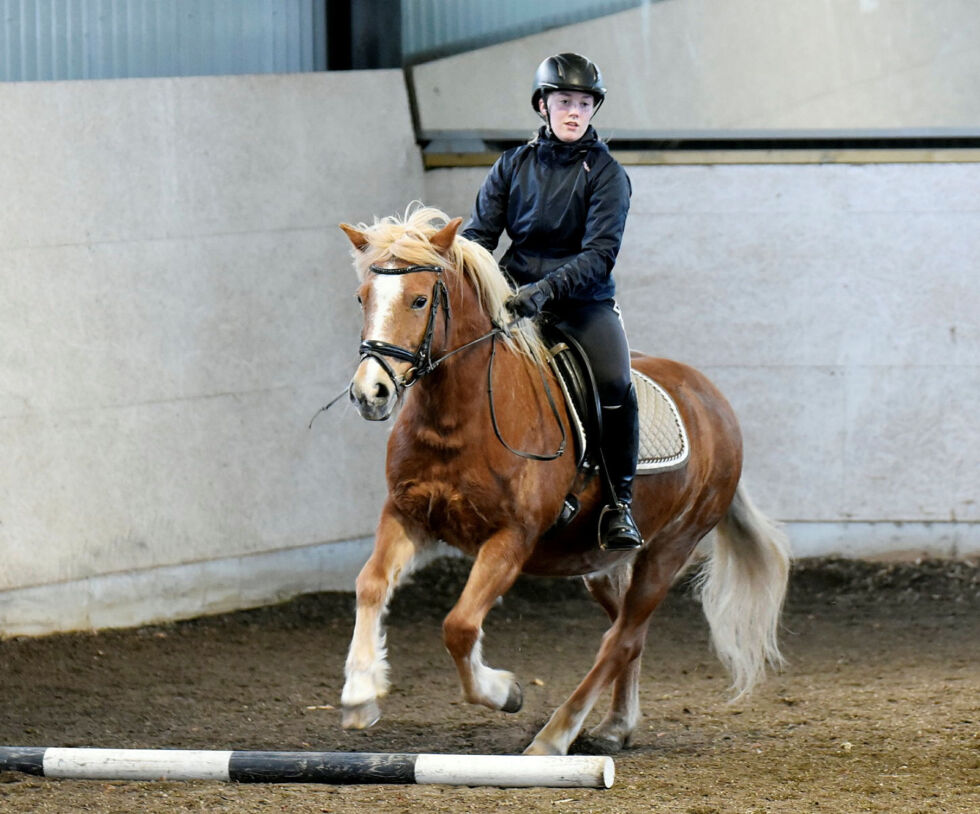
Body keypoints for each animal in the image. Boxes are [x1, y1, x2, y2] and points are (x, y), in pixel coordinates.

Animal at [334, 204, 792, 760]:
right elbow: (371, 584)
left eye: (420, 299)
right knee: (628, 632)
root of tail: (714, 401)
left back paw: (553, 738)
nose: (370, 393)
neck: (459, 417)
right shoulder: (407, 514)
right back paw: (615, 725)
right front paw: (360, 695)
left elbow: (459, 626)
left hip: (670, 548)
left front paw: (504, 692)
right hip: (598, 562)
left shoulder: (511, 538)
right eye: (363, 297)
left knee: (621, 638)